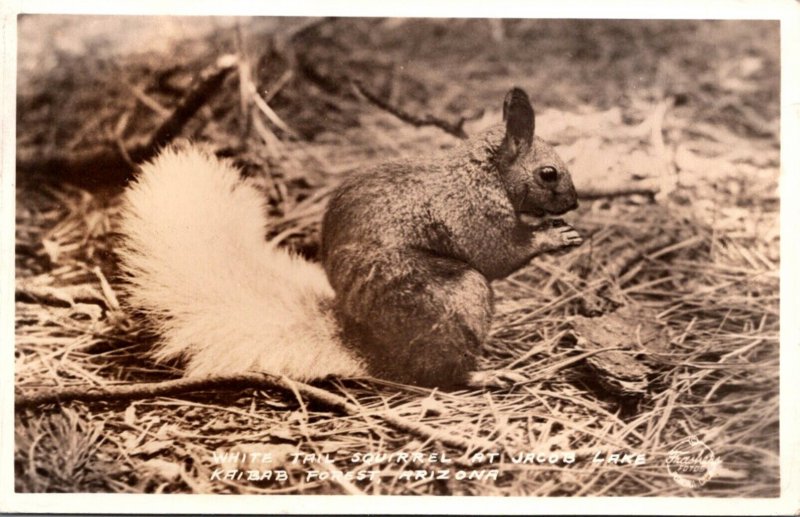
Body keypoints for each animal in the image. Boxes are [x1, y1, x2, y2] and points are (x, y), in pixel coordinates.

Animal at [119, 87, 580, 388]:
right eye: (549, 173)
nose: (574, 202)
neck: (485, 173)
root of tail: (372, 348)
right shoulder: (470, 211)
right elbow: (496, 253)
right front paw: (553, 238)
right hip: (454, 299)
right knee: (442, 376)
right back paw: (488, 374)